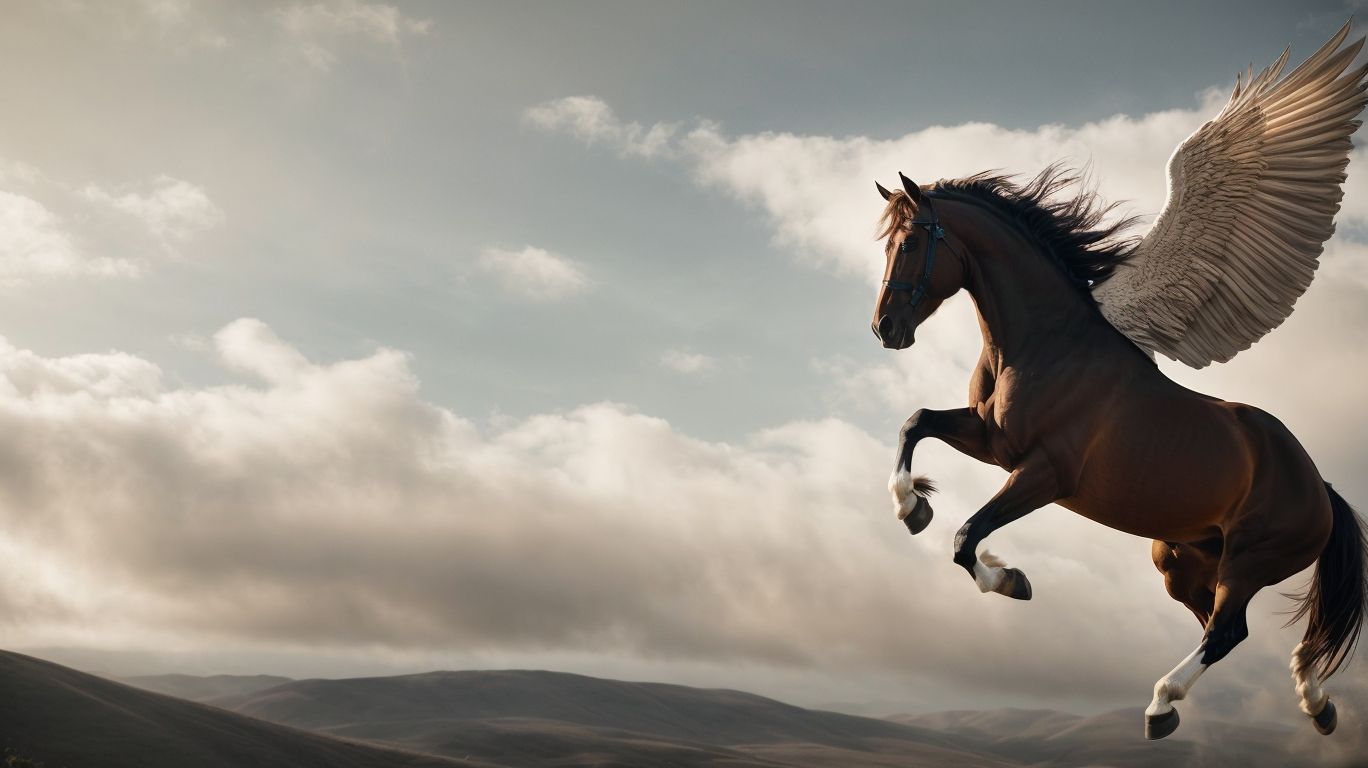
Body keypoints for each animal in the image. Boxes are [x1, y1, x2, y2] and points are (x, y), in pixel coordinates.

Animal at [869, 168, 1368, 740]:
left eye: (909, 243)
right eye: (888, 244)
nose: (885, 328)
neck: (1046, 347)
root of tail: (1320, 489)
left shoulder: (1043, 474)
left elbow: (965, 537)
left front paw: (1009, 580)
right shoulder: (989, 442)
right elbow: (916, 423)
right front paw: (913, 507)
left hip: (1249, 561)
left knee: (1225, 632)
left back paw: (1162, 704)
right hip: (1179, 563)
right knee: (1227, 630)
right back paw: (1314, 704)